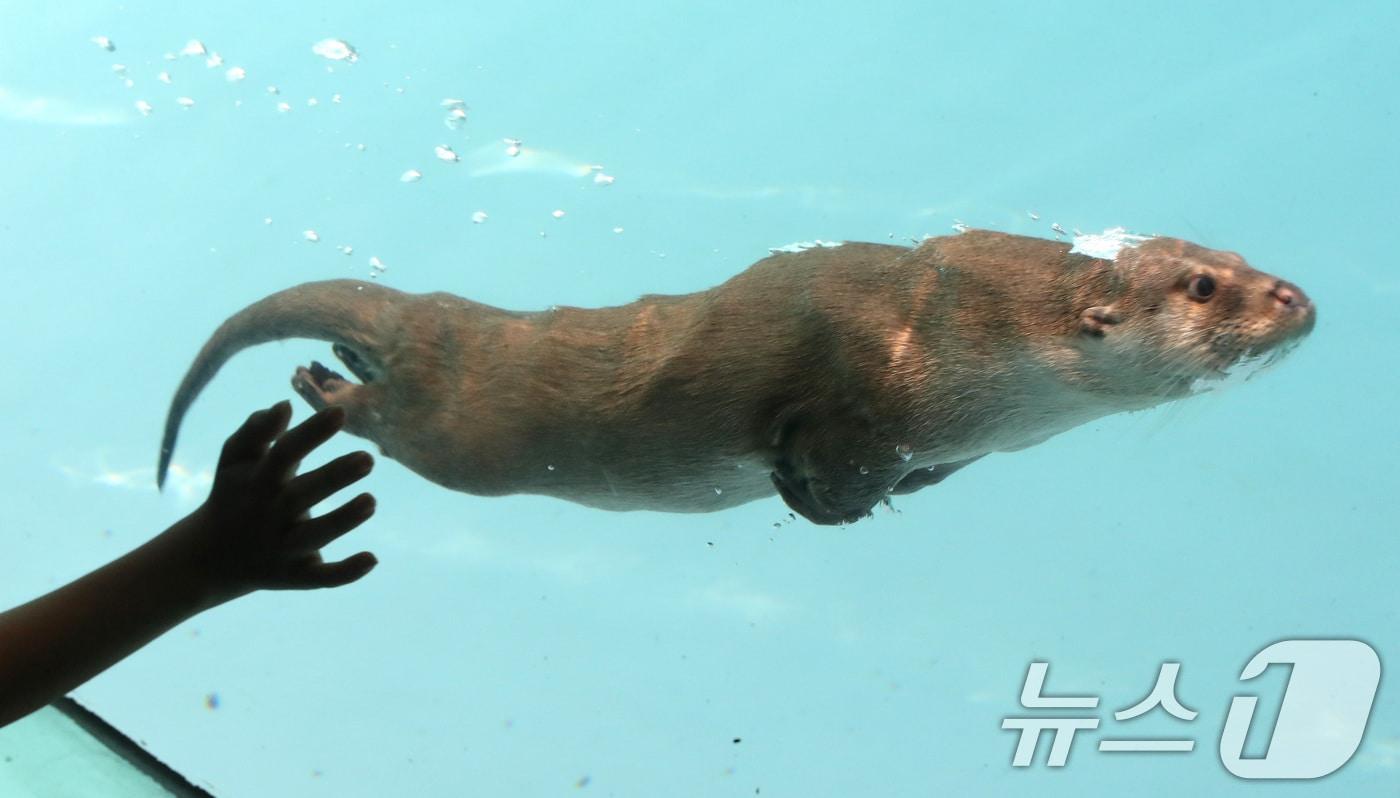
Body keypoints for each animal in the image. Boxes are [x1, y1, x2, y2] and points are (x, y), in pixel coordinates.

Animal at [158, 228, 1316, 520]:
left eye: (1240, 259)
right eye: (1206, 287)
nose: (1297, 300)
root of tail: (438, 313)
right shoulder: (866, 378)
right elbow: (822, 446)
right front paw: (823, 498)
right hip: (467, 429)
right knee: (399, 418)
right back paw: (324, 388)